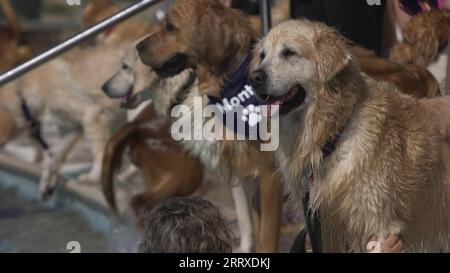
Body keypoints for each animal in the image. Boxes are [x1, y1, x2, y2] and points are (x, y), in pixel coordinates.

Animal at [251, 19, 450, 253]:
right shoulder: (327, 229)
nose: (254, 77)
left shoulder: (379, 225)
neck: (335, 133)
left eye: (289, 52)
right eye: (262, 55)